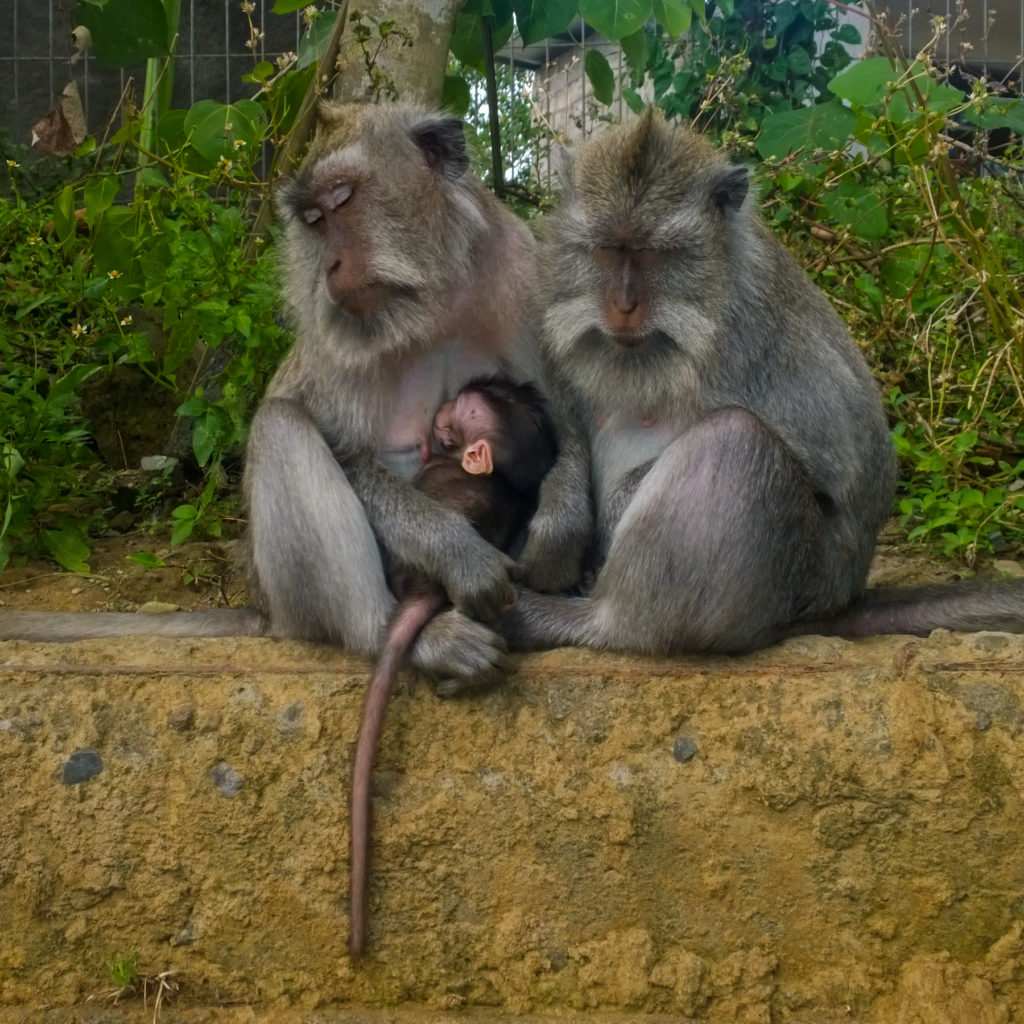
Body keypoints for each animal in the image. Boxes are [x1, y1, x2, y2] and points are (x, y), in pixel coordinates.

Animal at [0, 103, 593, 688]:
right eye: (312, 220)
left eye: (342, 200)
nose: (329, 265)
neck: (432, 298)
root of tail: (263, 606)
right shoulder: (333, 328)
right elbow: (343, 449)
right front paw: (460, 555)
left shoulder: (518, 264)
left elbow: (562, 413)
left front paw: (559, 530)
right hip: (292, 593)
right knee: (281, 426)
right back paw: (392, 634)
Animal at [503, 112, 1024, 655]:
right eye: (608, 250)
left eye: (655, 255)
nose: (623, 305)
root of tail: (840, 599)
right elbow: (560, 420)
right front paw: (559, 533)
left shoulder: (749, 332)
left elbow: (835, 475)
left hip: (797, 584)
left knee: (736, 440)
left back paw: (596, 623)